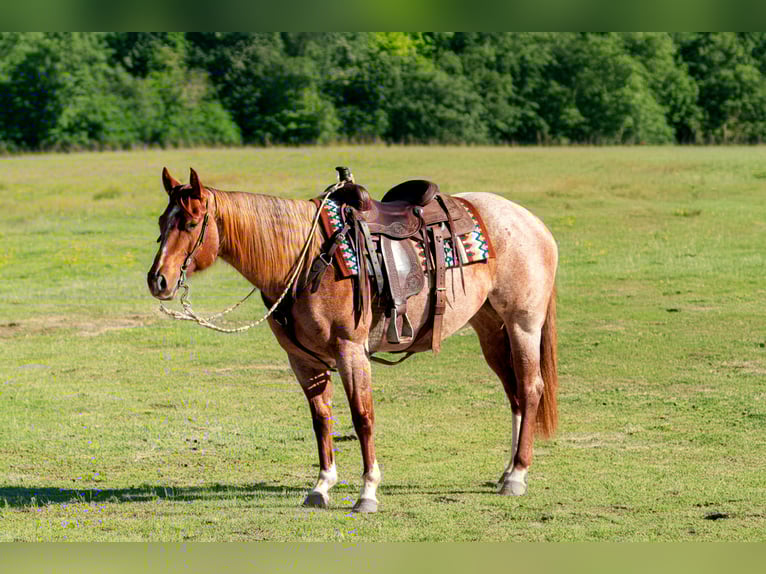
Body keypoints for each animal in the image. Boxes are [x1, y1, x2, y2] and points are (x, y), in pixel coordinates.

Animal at [147, 167, 559, 513]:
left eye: (190, 222)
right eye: (161, 222)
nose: (158, 280)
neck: (307, 259)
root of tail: (532, 222)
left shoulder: (350, 351)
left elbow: (362, 417)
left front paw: (367, 492)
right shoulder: (302, 360)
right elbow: (321, 419)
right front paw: (321, 486)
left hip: (523, 324)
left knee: (530, 387)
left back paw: (518, 475)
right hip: (489, 326)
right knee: (514, 393)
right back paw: (507, 471)